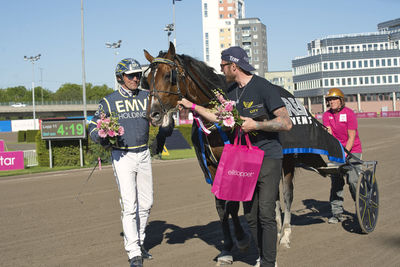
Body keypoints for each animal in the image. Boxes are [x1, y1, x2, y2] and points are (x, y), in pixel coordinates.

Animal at [144, 43, 328, 262]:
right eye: (148, 79)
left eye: (168, 75)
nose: (153, 114)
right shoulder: (211, 166)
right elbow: (221, 204)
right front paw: (227, 246)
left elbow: (232, 203)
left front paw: (241, 239)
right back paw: (275, 225)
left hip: (288, 160)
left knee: (287, 193)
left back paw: (285, 233)